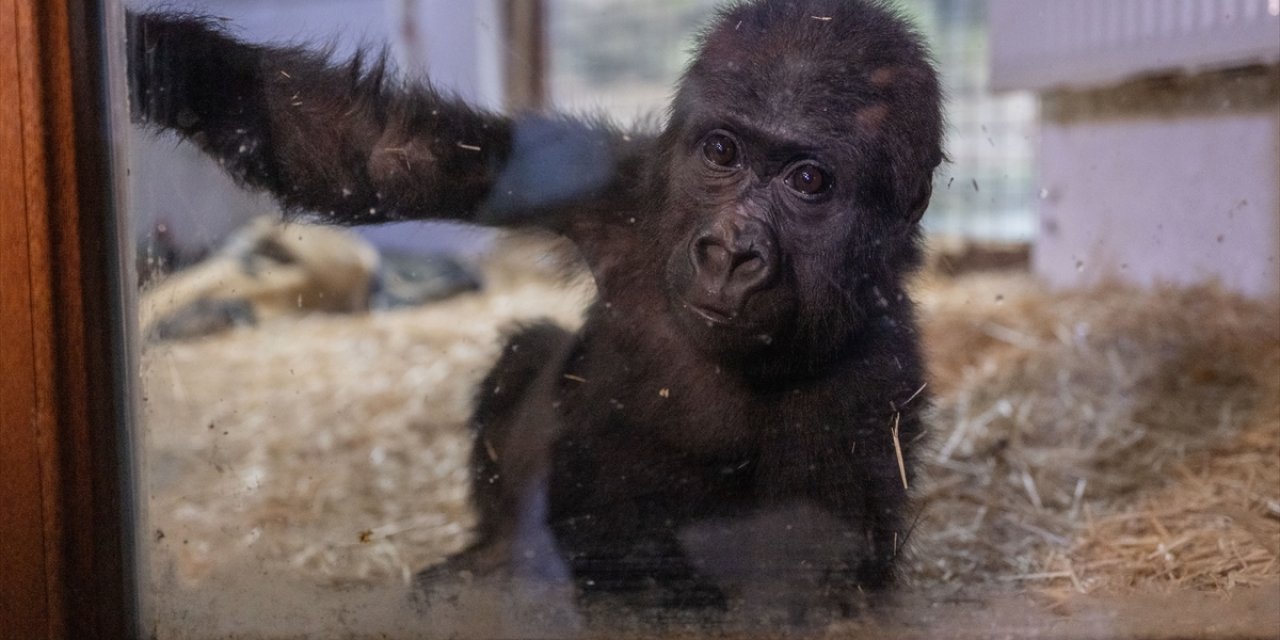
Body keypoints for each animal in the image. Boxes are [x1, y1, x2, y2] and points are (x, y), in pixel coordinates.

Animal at [129, 0, 947, 616]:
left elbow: (802, 576)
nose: (729, 252)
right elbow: (386, 152)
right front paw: (162, 57)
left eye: (808, 181)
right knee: (530, 347)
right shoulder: (617, 185)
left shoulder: (876, 377)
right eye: (723, 152)